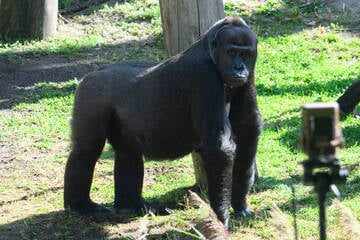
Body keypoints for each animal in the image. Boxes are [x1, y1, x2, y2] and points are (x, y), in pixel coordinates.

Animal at [64, 16, 262, 227]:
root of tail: (94, 72)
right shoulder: (203, 75)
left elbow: (247, 126)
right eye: (231, 52)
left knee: (128, 151)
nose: (239, 68)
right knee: (87, 150)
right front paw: (221, 217)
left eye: (245, 54)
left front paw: (239, 201)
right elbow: (219, 146)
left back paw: (131, 205)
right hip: (91, 93)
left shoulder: (250, 71)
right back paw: (79, 205)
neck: (209, 50)